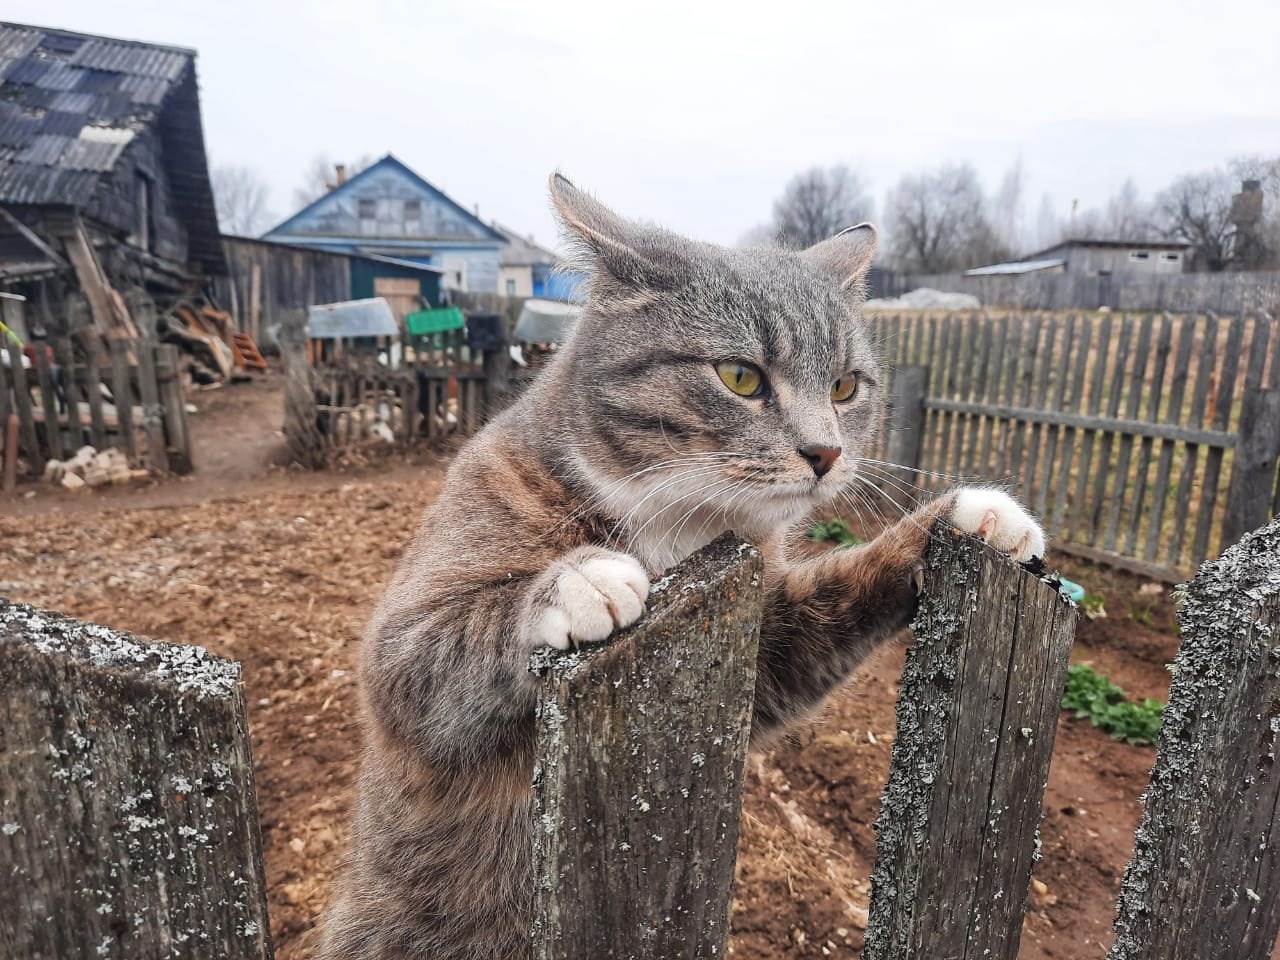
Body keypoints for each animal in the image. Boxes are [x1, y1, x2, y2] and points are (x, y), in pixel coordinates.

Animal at [317, 174, 1045, 959]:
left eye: (847, 387)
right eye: (740, 376)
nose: (826, 453)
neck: (680, 524)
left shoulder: (769, 642)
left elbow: (831, 602)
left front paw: (972, 517)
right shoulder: (407, 637)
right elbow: (440, 642)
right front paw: (579, 580)